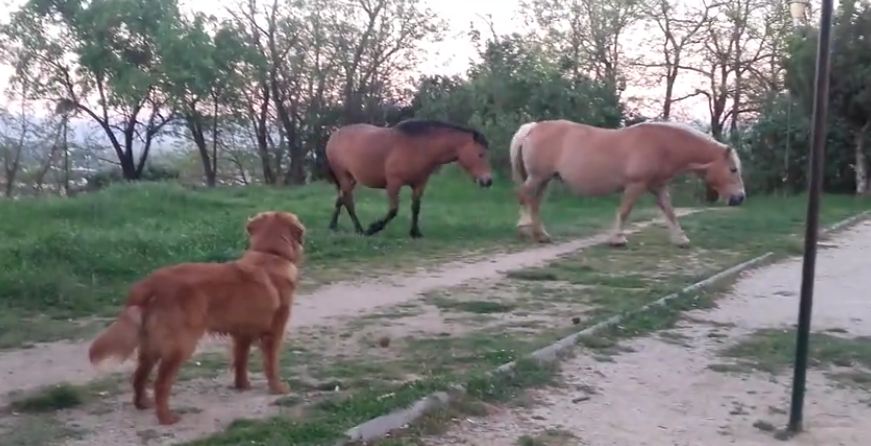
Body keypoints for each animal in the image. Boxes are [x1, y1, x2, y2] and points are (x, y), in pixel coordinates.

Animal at [89, 212, 306, 426]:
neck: (270, 254)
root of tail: (151, 284)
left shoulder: (242, 333)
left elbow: (240, 361)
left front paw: (242, 385)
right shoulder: (274, 333)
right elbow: (271, 365)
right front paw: (277, 388)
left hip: (149, 345)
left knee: (139, 376)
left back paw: (143, 403)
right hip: (180, 344)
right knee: (161, 384)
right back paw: (166, 418)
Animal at [326, 117, 494, 237]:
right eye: (480, 154)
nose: (488, 181)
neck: (418, 147)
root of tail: (334, 136)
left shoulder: (419, 184)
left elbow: (416, 208)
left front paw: (415, 233)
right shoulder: (394, 184)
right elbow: (393, 210)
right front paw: (373, 228)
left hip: (351, 179)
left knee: (340, 199)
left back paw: (333, 226)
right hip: (344, 176)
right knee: (348, 202)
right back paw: (360, 229)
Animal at [510, 120, 748, 247]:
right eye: (733, 169)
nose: (740, 198)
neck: (661, 145)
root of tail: (533, 127)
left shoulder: (658, 187)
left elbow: (670, 212)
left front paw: (681, 239)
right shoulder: (636, 185)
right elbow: (625, 211)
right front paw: (618, 239)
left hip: (544, 179)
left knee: (534, 202)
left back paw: (540, 234)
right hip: (538, 177)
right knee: (524, 196)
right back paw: (524, 229)